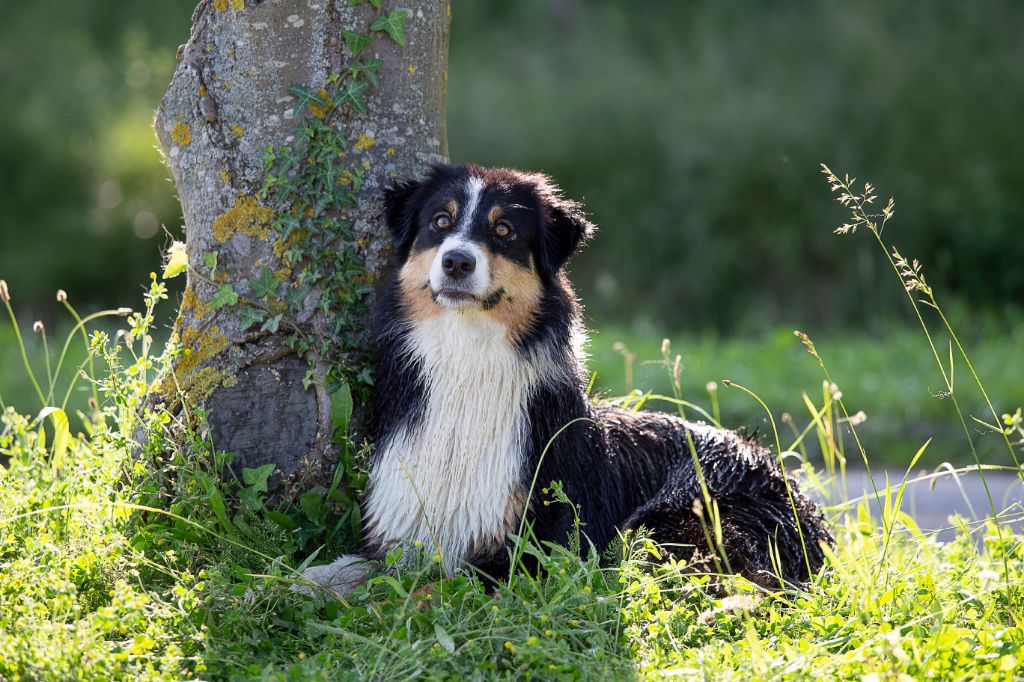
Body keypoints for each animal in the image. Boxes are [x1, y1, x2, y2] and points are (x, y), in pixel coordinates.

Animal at [299, 161, 831, 593]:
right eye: (440, 222)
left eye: (504, 229)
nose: (456, 261)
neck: (467, 358)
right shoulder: (402, 524)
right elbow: (357, 568)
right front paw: (298, 583)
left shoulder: (540, 548)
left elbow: (432, 583)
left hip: (677, 524)